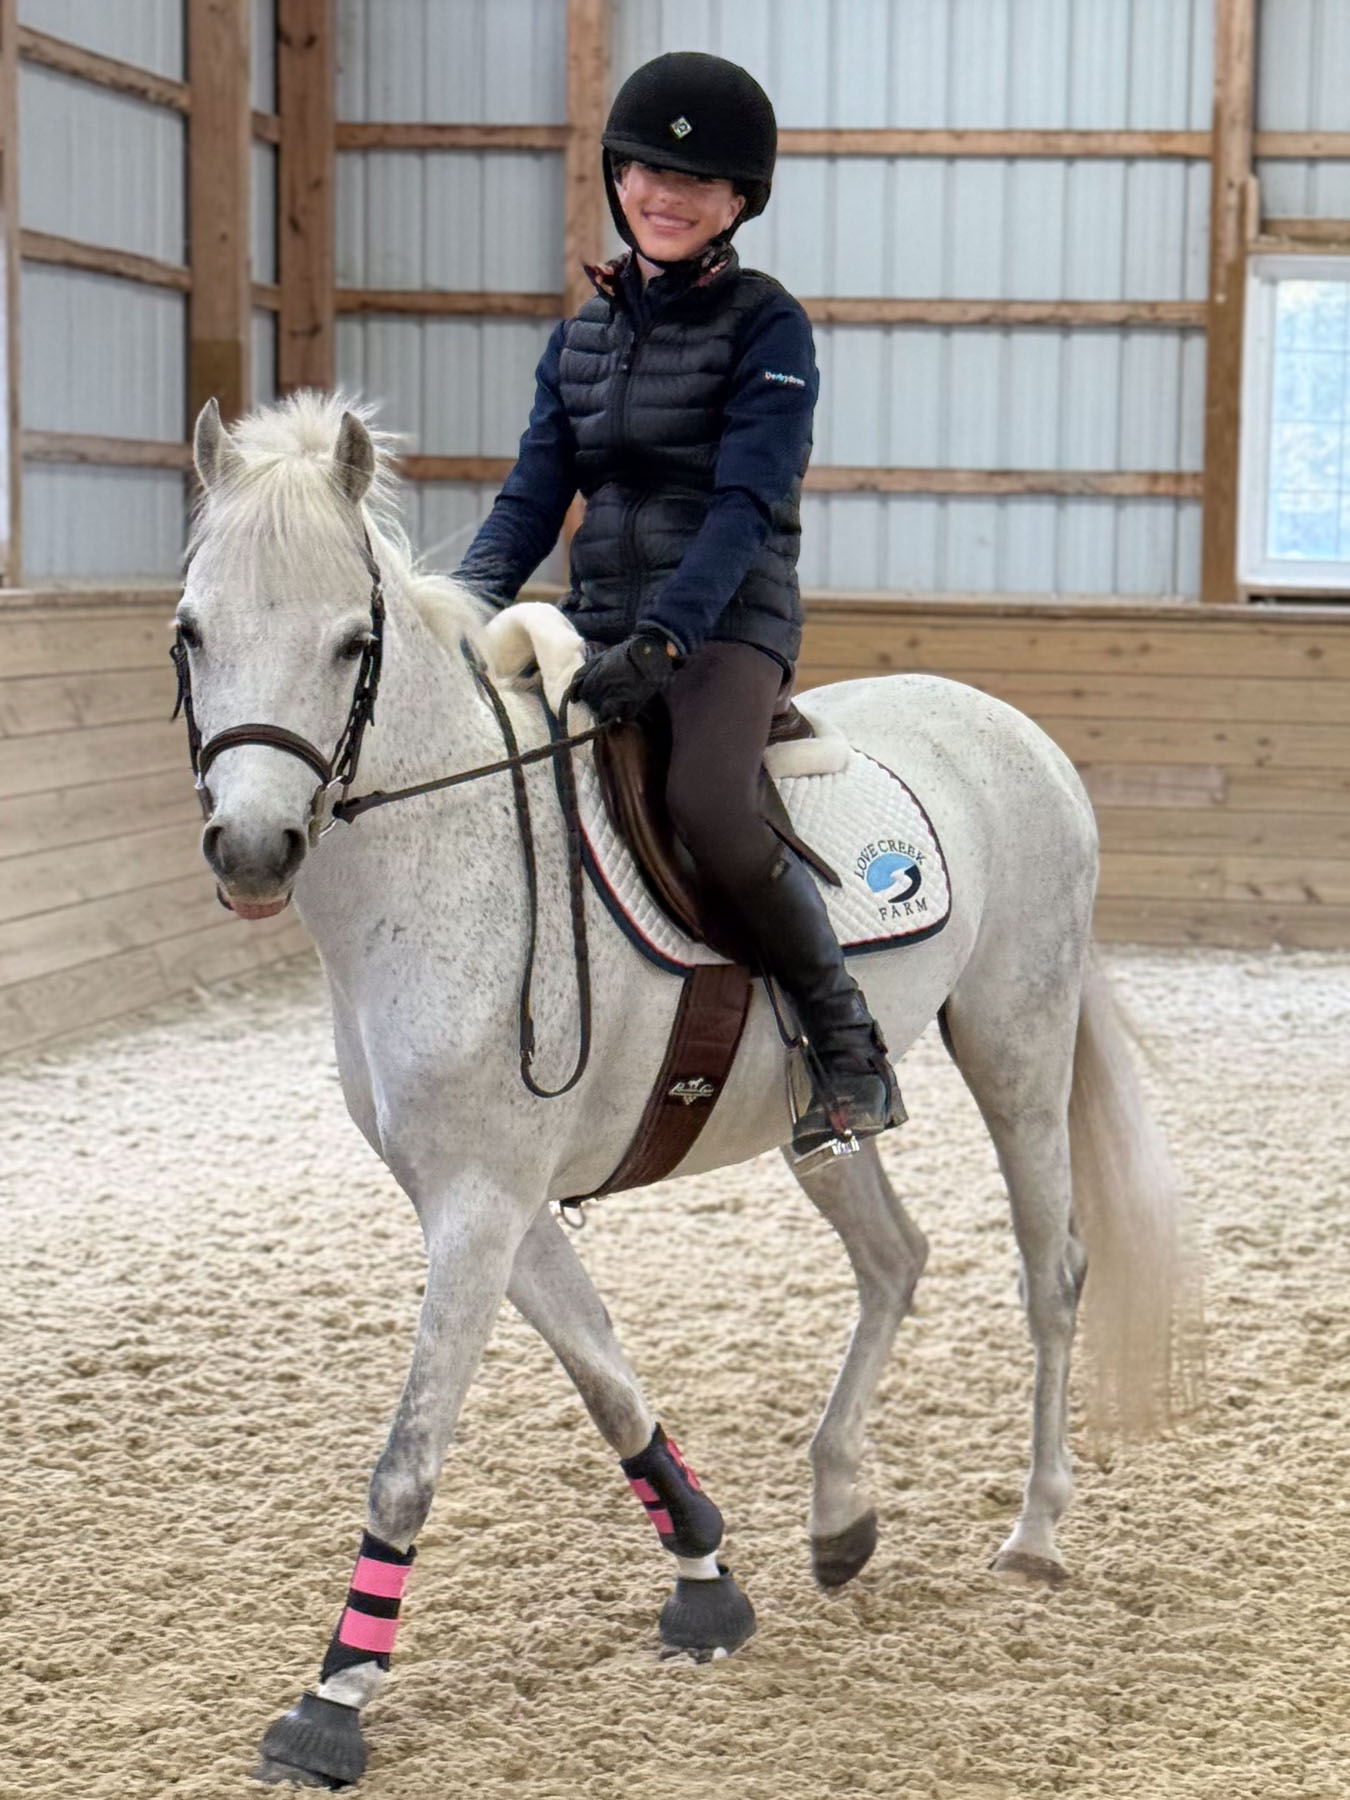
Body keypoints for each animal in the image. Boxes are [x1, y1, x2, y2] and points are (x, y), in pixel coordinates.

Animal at [176, 391, 1200, 1788]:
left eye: (350, 644)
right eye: (192, 631)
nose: (251, 850)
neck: (437, 856)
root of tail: (1013, 728)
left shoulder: (481, 1207)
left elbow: (407, 1458)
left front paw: (333, 1699)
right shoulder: (485, 1204)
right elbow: (610, 1382)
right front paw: (708, 1581)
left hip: (1018, 1050)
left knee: (1052, 1275)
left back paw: (1037, 1533)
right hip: (819, 1125)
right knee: (896, 1258)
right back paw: (840, 1512)